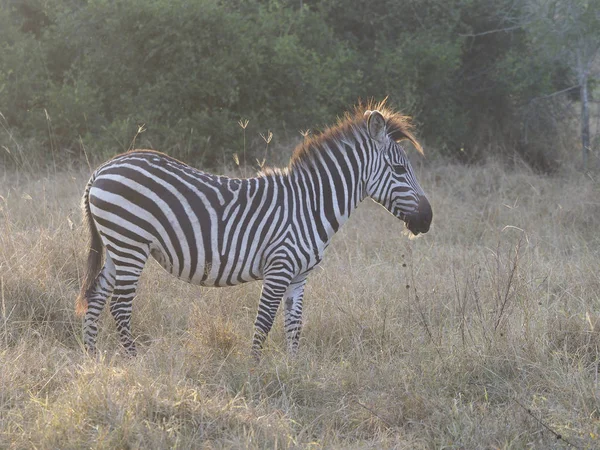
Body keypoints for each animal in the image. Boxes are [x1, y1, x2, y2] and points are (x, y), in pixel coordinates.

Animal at [76, 103, 432, 358]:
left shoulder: (299, 276)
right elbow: (264, 322)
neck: (310, 204)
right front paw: (254, 369)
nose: (427, 220)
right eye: (399, 169)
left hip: (118, 248)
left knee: (96, 296)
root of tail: (102, 169)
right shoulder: (279, 267)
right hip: (130, 244)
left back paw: (93, 358)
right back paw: (132, 359)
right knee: (119, 306)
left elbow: (294, 325)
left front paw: (293, 371)